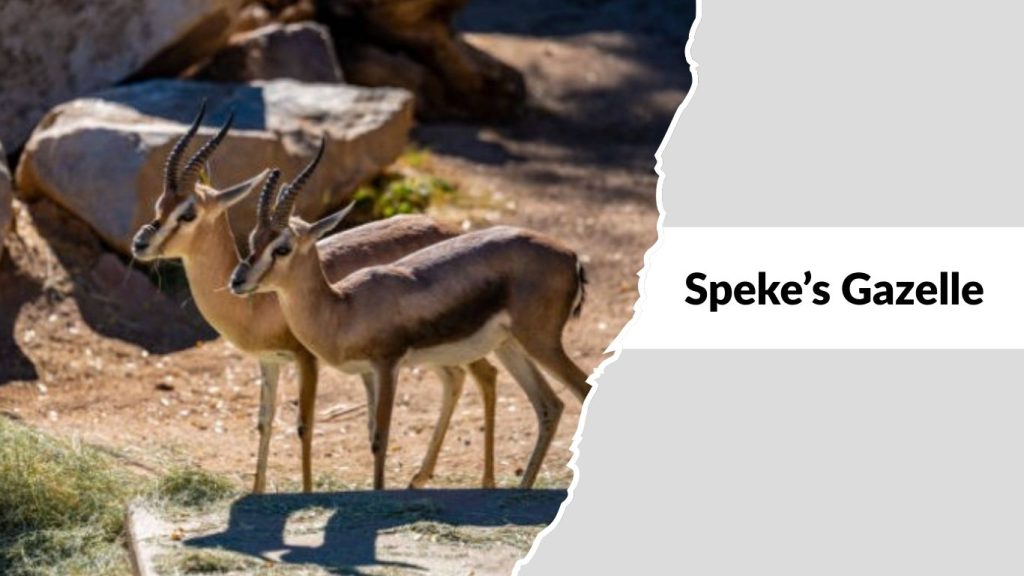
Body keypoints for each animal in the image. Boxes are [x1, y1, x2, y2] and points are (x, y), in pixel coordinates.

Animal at [131, 104, 501, 493]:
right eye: (160, 204)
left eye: (187, 213)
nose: (140, 243)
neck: (257, 305)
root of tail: (451, 229)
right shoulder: (269, 361)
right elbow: (264, 421)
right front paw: (257, 491)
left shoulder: (306, 360)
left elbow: (304, 427)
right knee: (456, 379)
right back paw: (419, 478)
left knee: (485, 375)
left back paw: (483, 480)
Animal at [229, 149, 592, 490]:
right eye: (253, 240)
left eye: (282, 248)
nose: (238, 281)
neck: (342, 308)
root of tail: (571, 257)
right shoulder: (369, 372)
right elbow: (371, 432)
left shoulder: (388, 365)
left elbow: (381, 438)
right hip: (510, 347)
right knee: (549, 406)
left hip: (541, 343)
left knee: (580, 390)